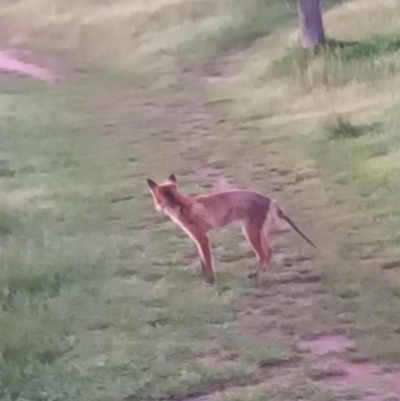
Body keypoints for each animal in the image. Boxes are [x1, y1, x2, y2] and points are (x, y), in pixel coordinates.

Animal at [147, 173, 318, 282]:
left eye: (156, 198)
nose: (157, 208)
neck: (181, 205)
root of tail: (267, 197)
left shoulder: (203, 239)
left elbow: (208, 262)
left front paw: (211, 280)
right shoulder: (197, 239)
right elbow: (202, 262)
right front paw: (205, 278)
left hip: (249, 233)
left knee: (263, 254)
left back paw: (256, 275)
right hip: (258, 231)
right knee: (269, 251)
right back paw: (263, 272)